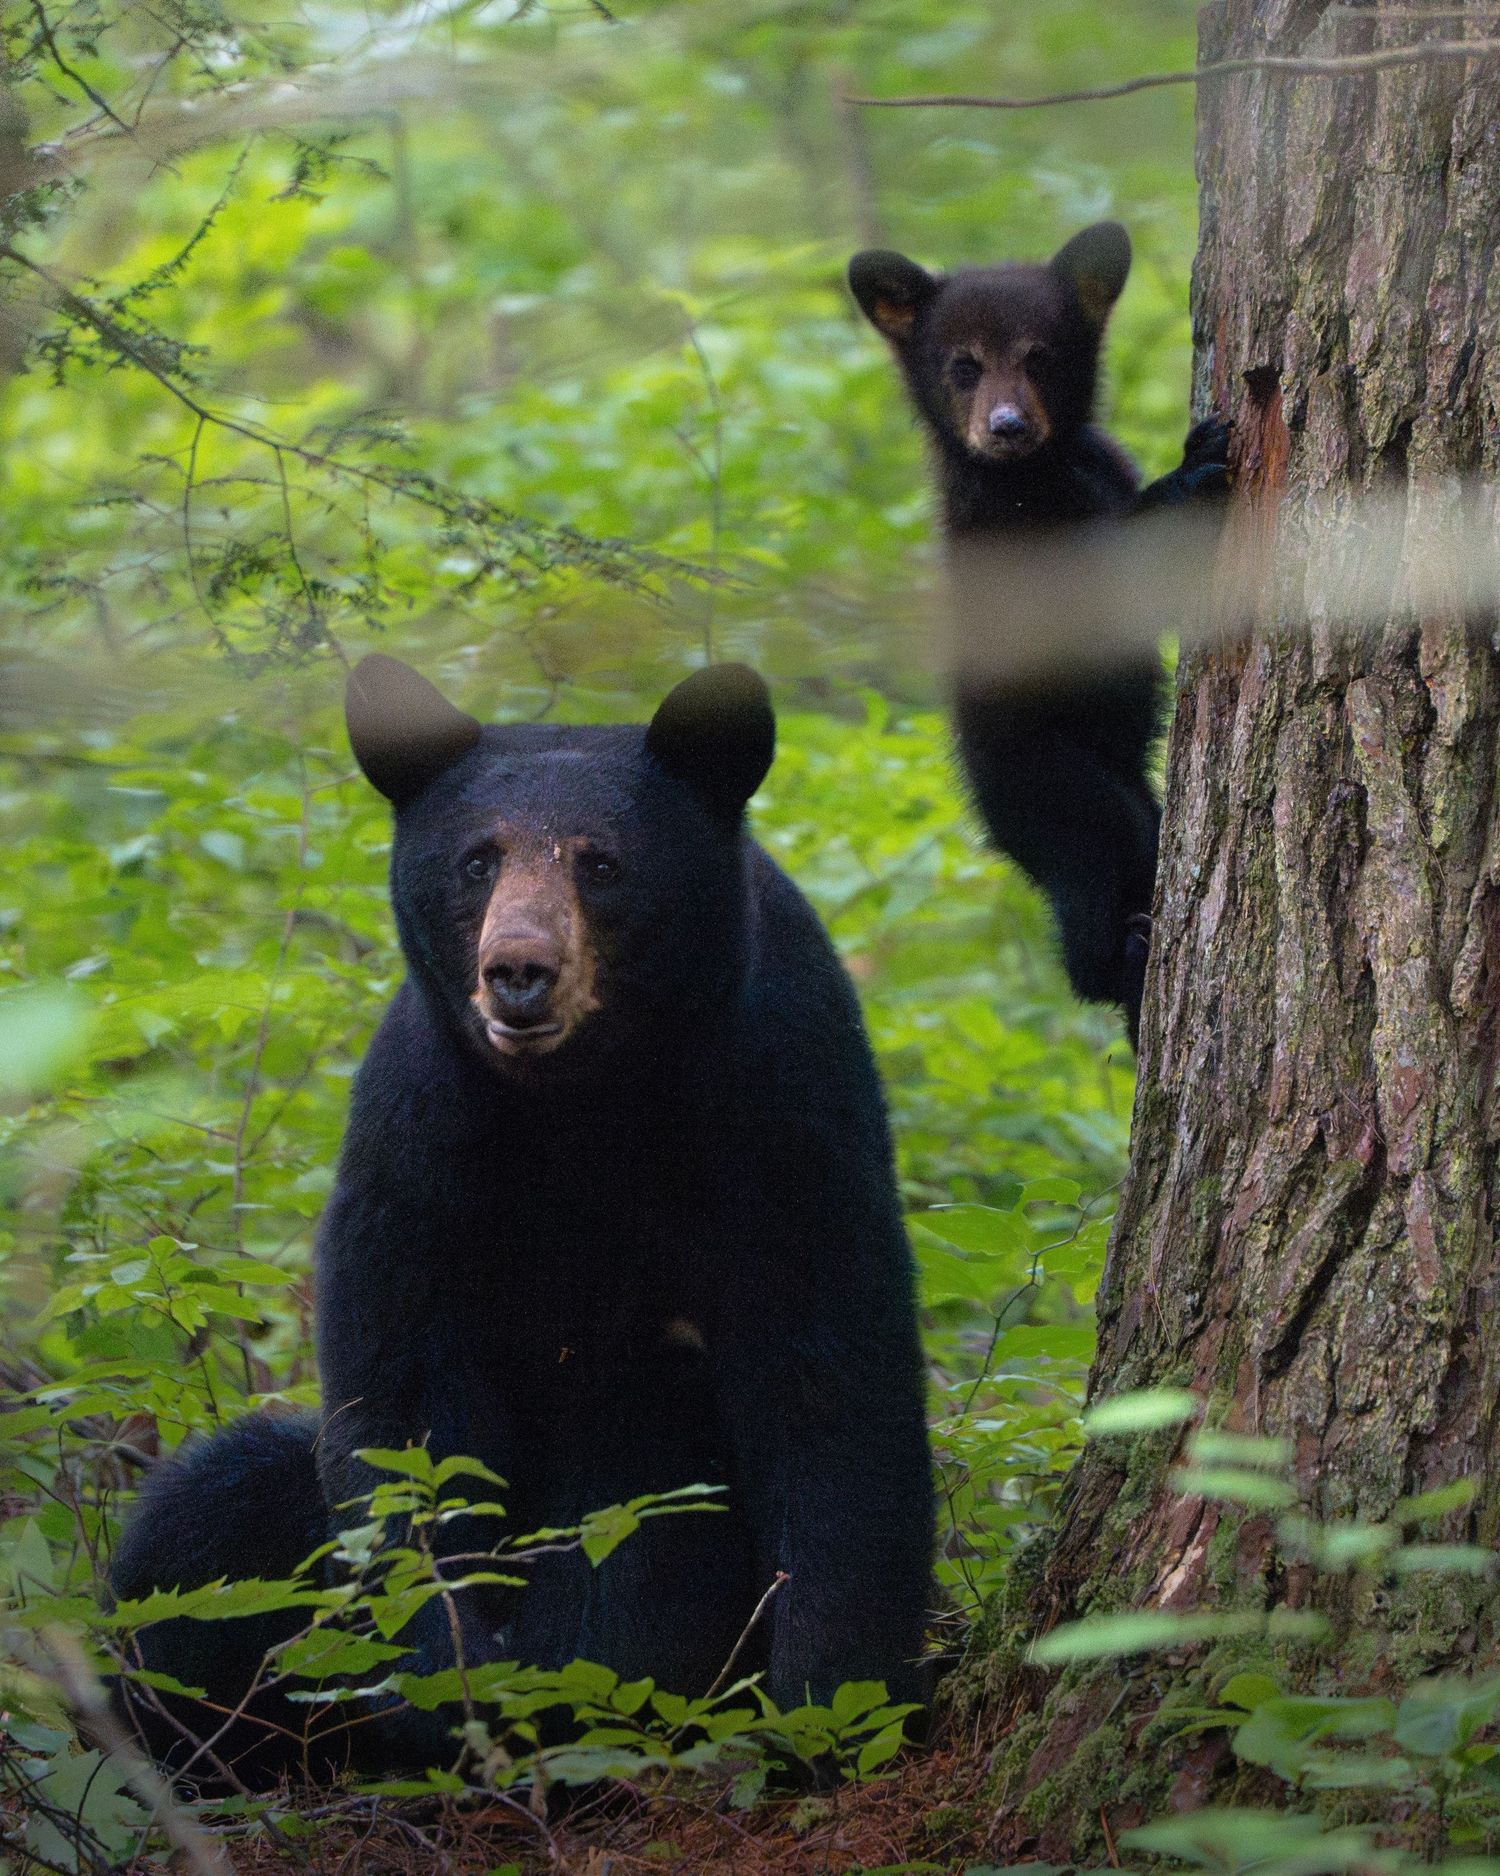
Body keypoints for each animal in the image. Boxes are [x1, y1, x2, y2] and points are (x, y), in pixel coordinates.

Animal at [110, 654, 935, 1789]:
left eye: (601, 863)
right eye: (475, 860)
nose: (519, 970)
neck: (583, 1103)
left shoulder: (780, 1103)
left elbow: (833, 1381)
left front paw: (833, 1707)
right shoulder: (425, 1135)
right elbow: (402, 1405)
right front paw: (447, 1684)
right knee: (200, 1525)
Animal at [848, 222, 1230, 1046]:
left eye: (1040, 357)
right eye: (963, 365)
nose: (1007, 427)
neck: (1041, 473)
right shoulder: (1005, 539)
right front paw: (1192, 469)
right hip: (1049, 782)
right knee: (1092, 869)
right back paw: (1125, 957)